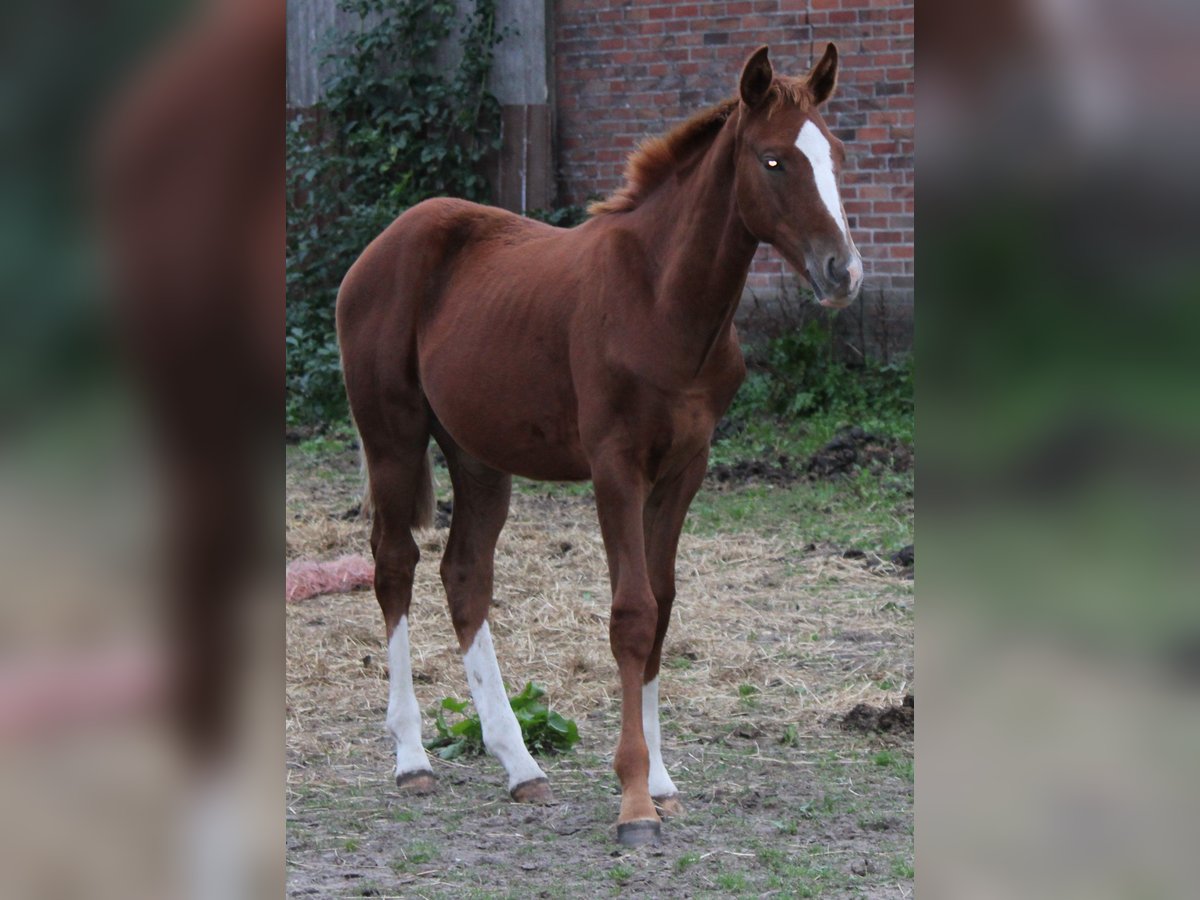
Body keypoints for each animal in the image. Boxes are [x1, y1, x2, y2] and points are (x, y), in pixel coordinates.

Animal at [338, 44, 864, 844]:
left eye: (834, 154)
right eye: (773, 160)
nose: (844, 271)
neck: (662, 300)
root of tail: (382, 244)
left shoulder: (684, 469)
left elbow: (664, 605)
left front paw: (664, 782)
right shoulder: (616, 467)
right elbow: (632, 613)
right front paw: (635, 802)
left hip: (478, 455)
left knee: (465, 575)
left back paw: (521, 766)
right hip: (393, 437)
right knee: (395, 567)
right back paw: (412, 759)